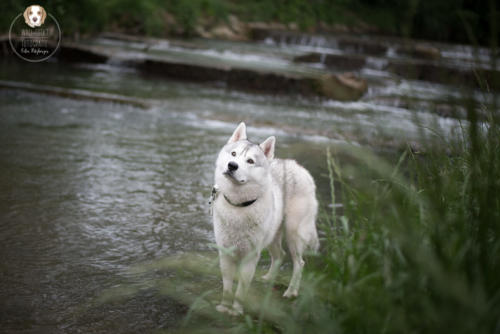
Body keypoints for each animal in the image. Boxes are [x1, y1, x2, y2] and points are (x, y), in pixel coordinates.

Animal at [213, 123, 318, 316]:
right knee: (279, 255)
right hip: (273, 236)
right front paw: (224, 307)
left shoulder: (250, 257)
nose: (232, 166)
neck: (239, 205)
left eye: (250, 161)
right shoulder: (225, 253)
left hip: (293, 235)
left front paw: (236, 311)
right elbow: (227, 287)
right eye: (233, 154)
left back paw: (291, 291)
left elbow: (240, 289)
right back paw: (269, 278)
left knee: (299, 263)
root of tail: (299, 167)